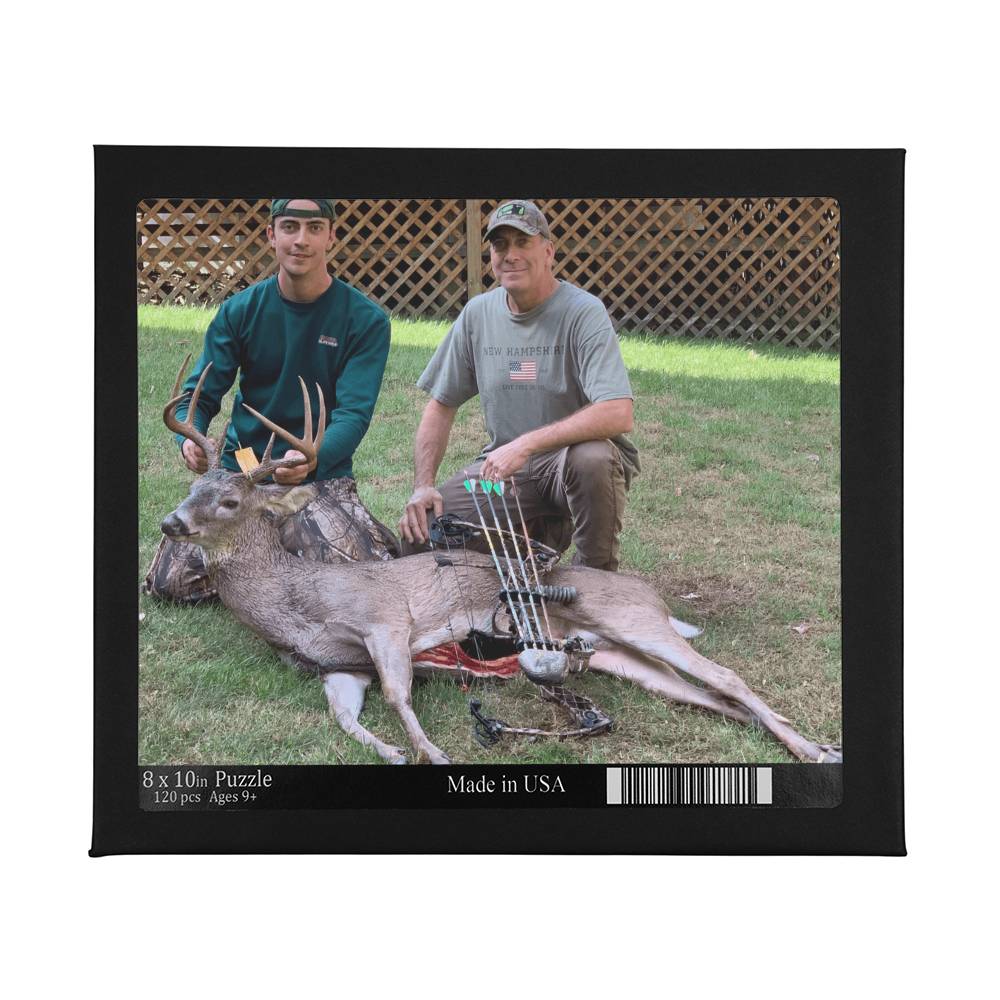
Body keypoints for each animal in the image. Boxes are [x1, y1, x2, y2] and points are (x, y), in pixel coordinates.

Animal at [159, 360, 842, 766]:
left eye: (228, 501)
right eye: (189, 489)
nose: (170, 523)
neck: (297, 605)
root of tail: (652, 596)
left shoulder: (384, 619)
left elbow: (400, 694)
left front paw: (433, 753)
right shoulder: (338, 666)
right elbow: (346, 718)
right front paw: (395, 753)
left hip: (632, 619)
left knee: (725, 676)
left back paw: (818, 750)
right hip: (615, 654)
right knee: (703, 694)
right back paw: (804, 744)